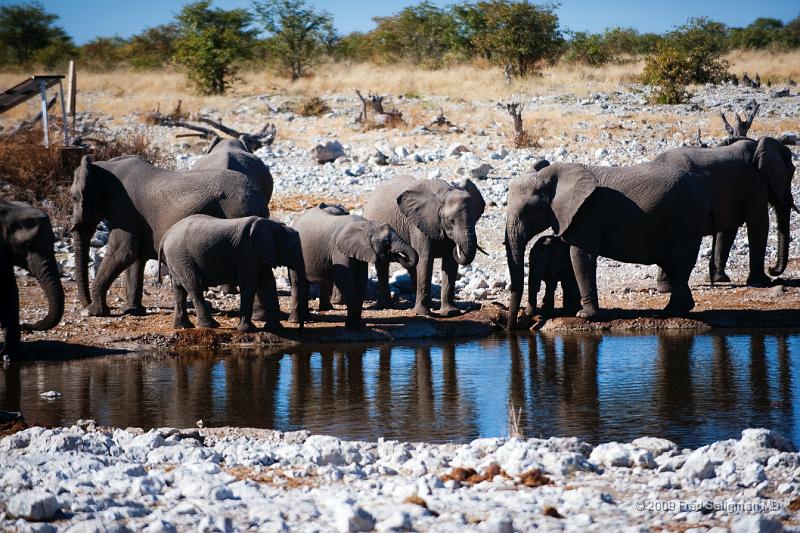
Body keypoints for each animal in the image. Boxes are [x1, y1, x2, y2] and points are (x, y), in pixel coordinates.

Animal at [70, 156, 268, 318]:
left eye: (73, 198)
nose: (85, 305)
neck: (101, 167)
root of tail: (258, 196)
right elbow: (135, 259)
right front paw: (133, 311)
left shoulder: (124, 210)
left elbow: (123, 253)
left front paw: (96, 312)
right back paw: (259, 316)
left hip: (237, 213)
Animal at [159, 214, 306, 330]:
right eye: (291, 251)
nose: (299, 326)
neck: (273, 226)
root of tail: (165, 236)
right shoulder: (246, 253)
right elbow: (249, 284)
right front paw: (247, 330)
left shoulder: (260, 256)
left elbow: (268, 284)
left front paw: (275, 328)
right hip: (182, 258)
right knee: (194, 287)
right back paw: (210, 325)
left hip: (176, 259)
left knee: (179, 290)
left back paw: (183, 326)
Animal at [364, 175, 488, 316]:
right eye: (451, 221)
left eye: (475, 220)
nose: (457, 248)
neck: (445, 194)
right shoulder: (419, 224)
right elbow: (425, 259)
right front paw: (422, 313)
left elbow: (450, 263)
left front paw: (451, 313)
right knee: (383, 264)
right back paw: (386, 306)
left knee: (413, 266)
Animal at [504, 159, 708, 328]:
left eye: (527, 212)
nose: (514, 326)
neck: (549, 177)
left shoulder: (586, 213)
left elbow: (580, 256)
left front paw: (585, 315)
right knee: (674, 264)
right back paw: (677, 309)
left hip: (686, 219)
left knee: (679, 262)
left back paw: (671, 311)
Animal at [652, 136, 796, 286]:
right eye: (792, 172)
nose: (771, 269)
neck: (757, 145)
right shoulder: (754, 184)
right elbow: (759, 224)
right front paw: (762, 281)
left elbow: (727, 230)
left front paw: (720, 279)